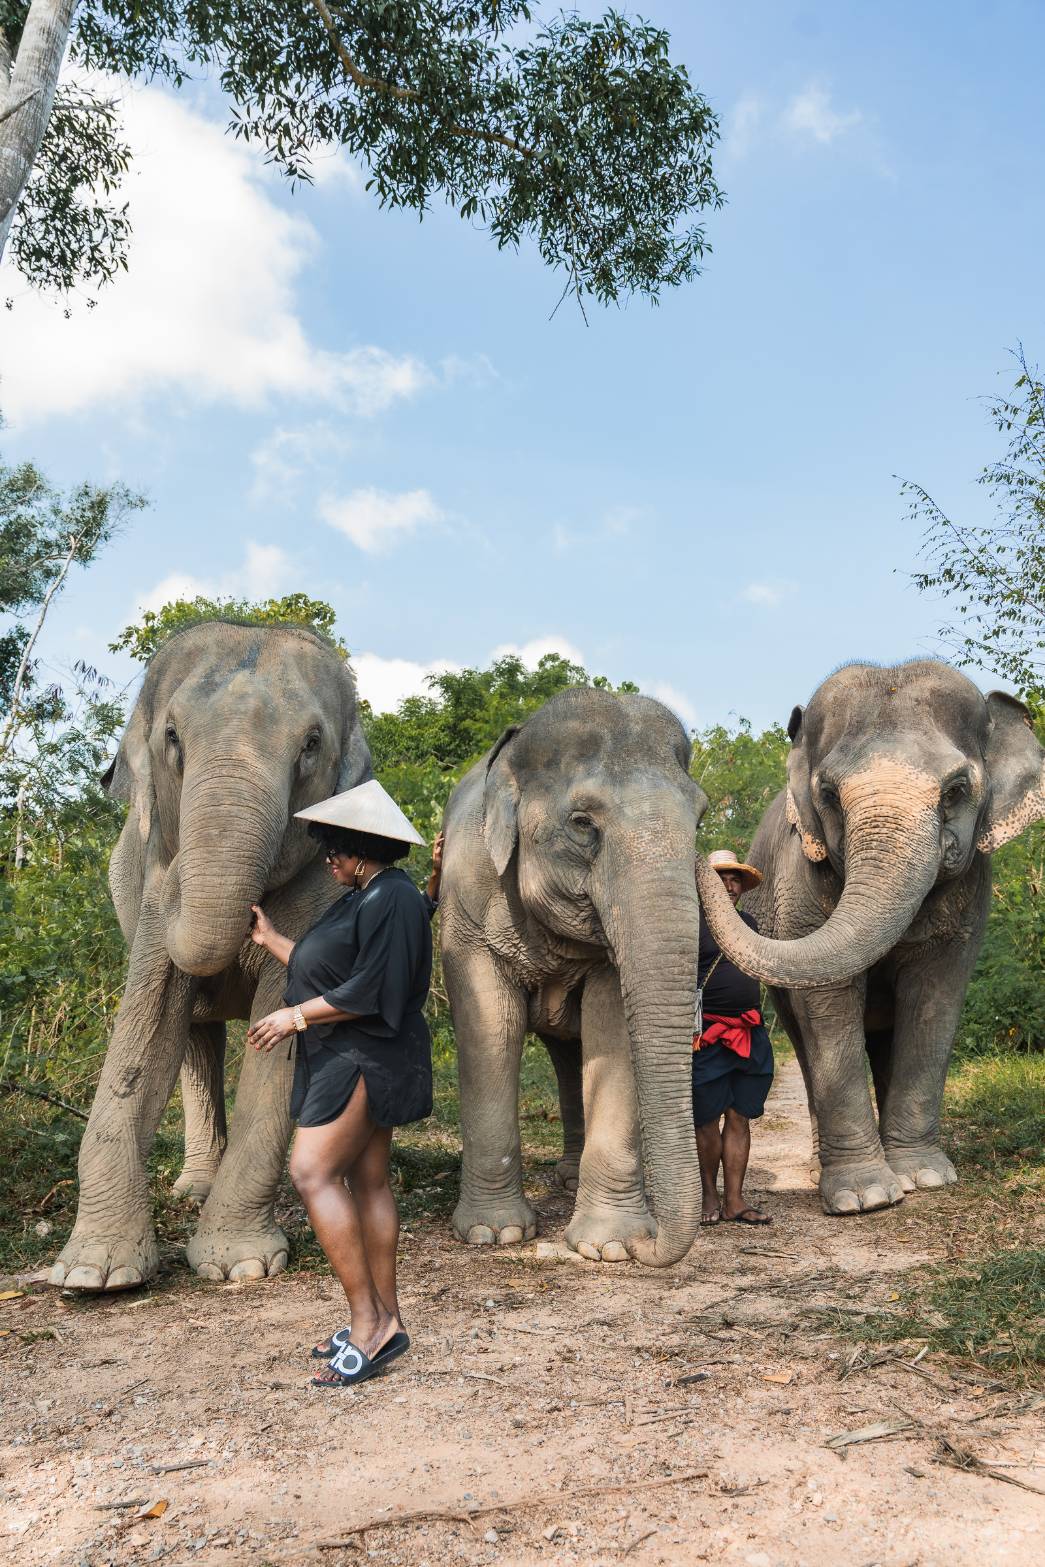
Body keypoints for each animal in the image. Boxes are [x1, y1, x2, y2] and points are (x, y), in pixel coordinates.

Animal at [50, 620, 372, 1290]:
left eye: (310, 746)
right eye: (172, 736)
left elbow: (281, 1031)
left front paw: (238, 1264)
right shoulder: (151, 895)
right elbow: (147, 1028)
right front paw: (92, 1273)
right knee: (196, 1036)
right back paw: (193, 1189)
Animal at [695, 660, 1045, 1217]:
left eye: (956, 790)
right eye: (829, 795)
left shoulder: (972, 892)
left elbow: (934, 999)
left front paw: (926, 1178)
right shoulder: (800, 877)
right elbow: (829, 1002)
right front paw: (864, 1196)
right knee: (804, 1043)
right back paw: (821, 1168)